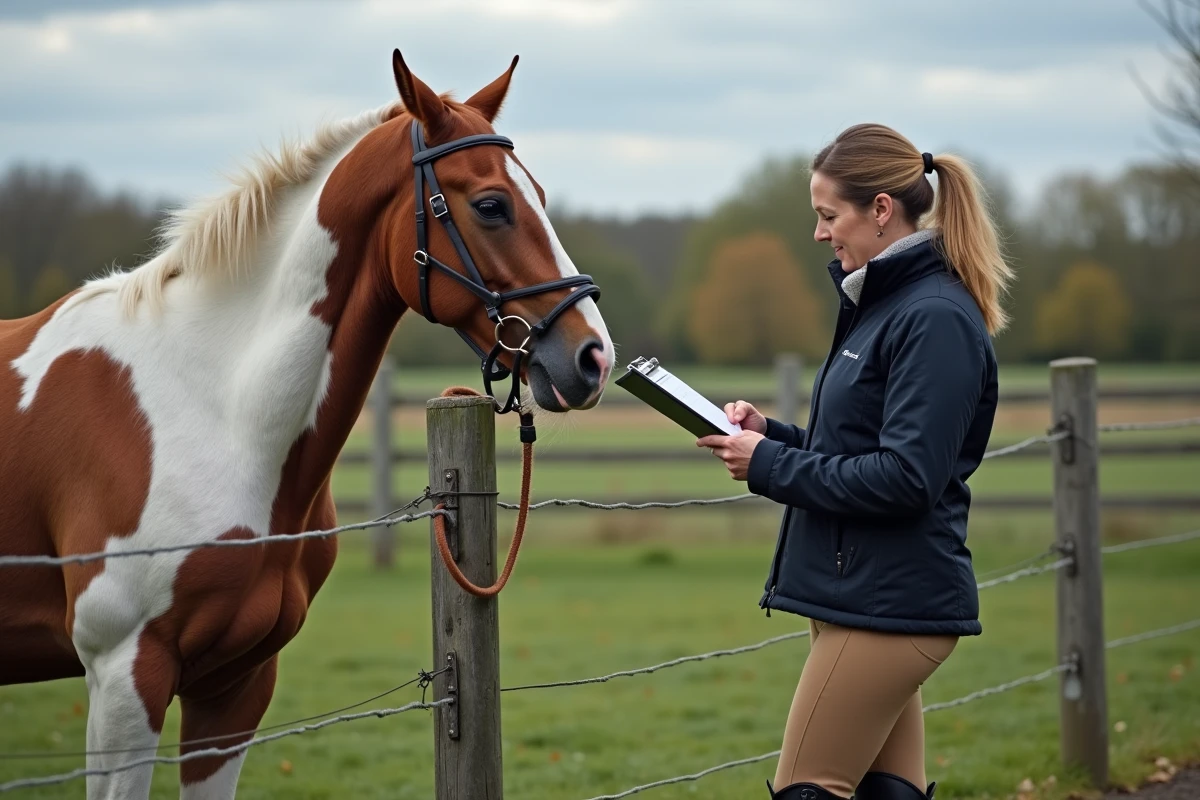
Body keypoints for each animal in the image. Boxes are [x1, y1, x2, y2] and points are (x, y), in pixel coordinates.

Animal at [0, 50, 613, 799]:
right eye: (492, 205)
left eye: (540, 197)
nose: (593, 357)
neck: (213, 410)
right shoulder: (124, 675)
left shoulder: (235, 685)